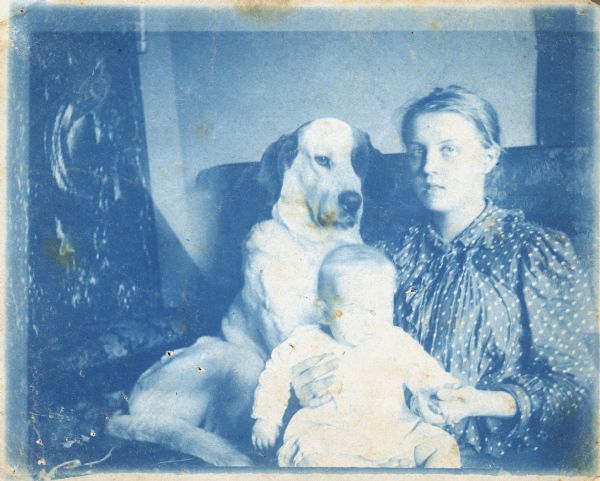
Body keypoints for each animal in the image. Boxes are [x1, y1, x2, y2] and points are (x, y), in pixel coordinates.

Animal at [107, 119, 378, 464]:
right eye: (322, 160)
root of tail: (130, 406)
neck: (313, 245)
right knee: (220, 428)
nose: (352, 201)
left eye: (358, 160)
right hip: (237, 359)